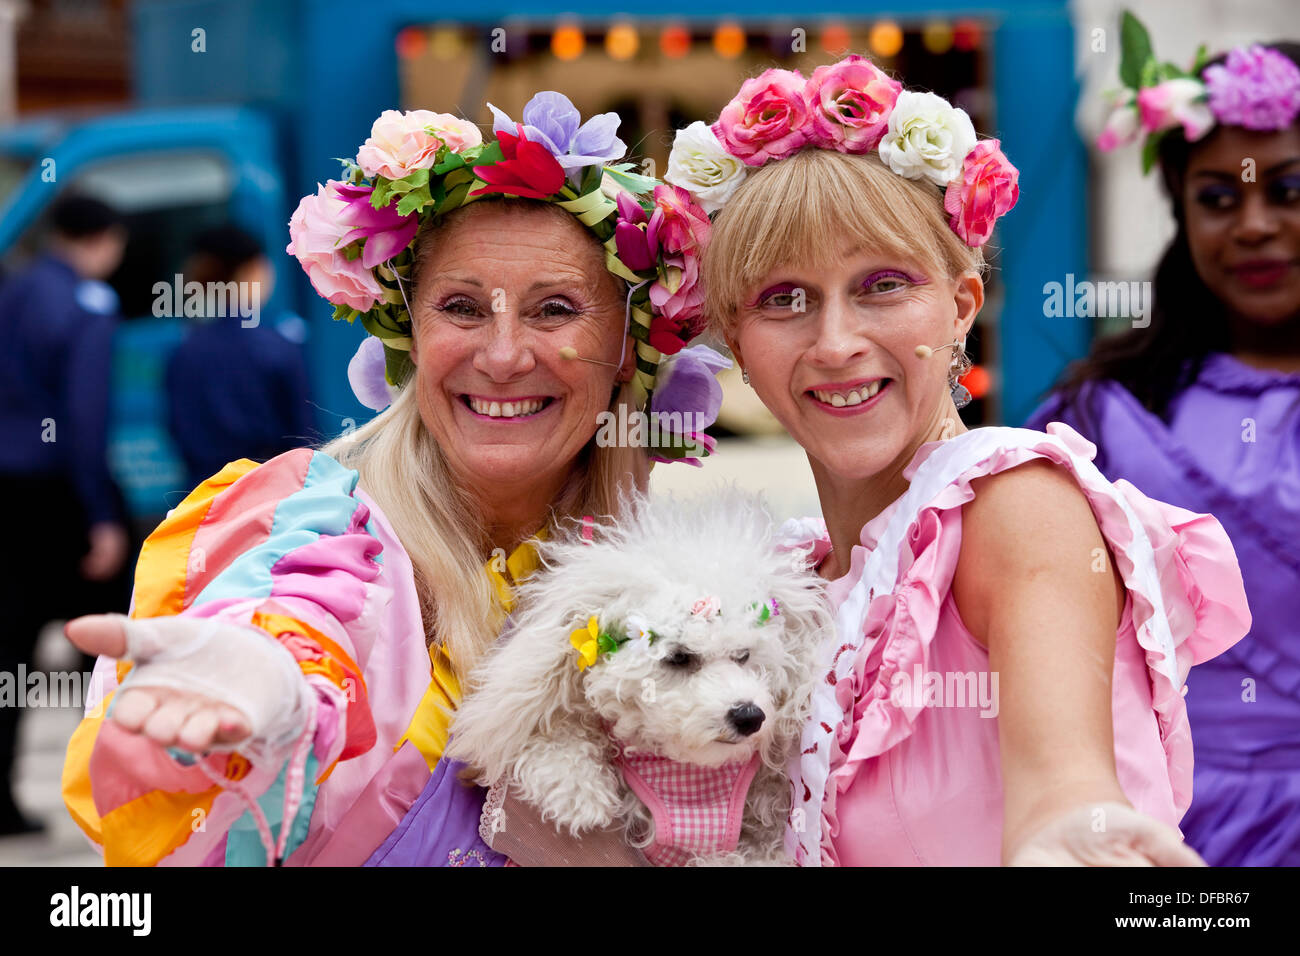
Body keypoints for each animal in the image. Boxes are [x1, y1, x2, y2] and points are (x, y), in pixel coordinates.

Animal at [452, 494, 826, 868]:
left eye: (743, 655)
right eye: (679, 656)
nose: (749, 716)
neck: (686, 768)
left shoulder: (764, 833)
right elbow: (557, 730)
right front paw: (576, 789)